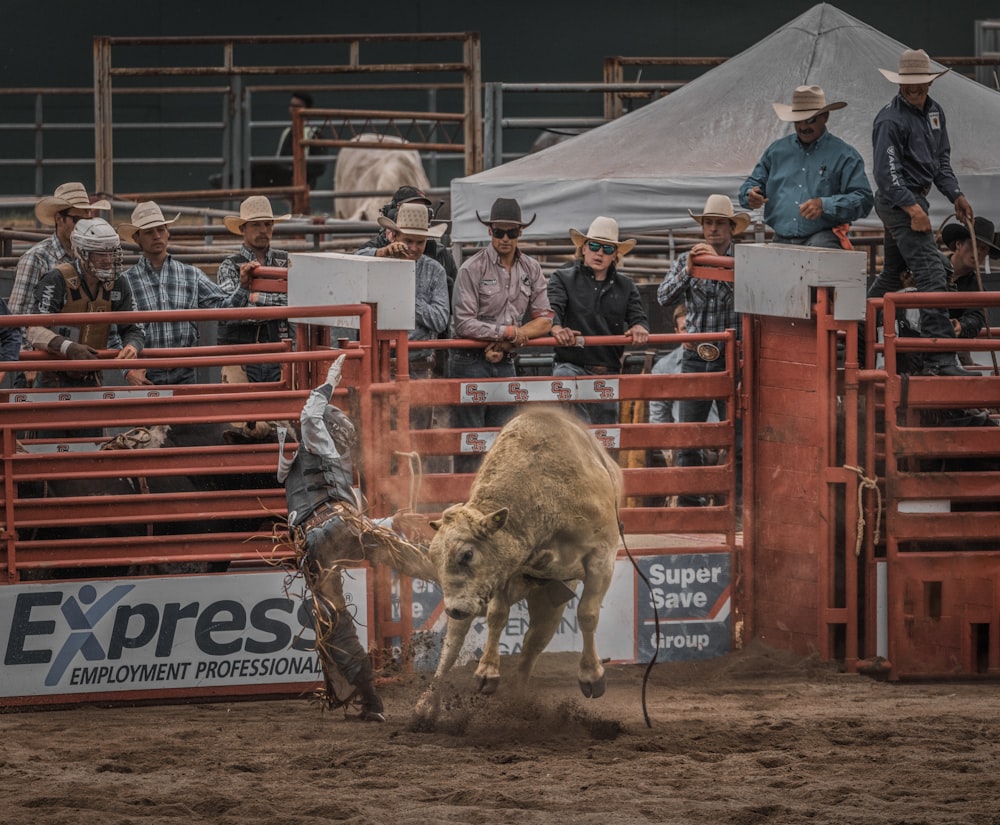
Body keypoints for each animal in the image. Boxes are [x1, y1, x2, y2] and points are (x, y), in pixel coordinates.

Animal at [416, 408, 624, 720]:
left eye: (467, 554)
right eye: (434, 558)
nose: (452, 609)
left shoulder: (602, 556)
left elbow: (587, 614)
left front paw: (592, 676)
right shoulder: (503, 571)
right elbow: (497, 615)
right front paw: (486, 672)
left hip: (548, 601)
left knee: (532, 645)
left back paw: (518, 700)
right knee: (453, 643)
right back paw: (428, 704)